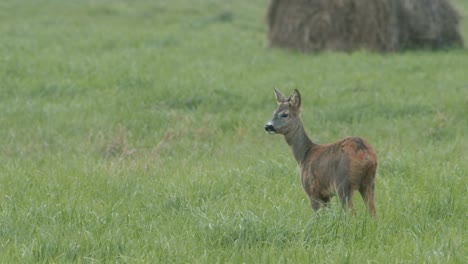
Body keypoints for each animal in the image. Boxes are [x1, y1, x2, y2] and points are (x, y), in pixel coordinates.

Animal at [266, 88, 378, 217]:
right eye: (274, 112)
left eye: (285, 114)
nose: (267, 126)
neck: (304, 155)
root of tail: (366, 154)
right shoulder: (326, 195)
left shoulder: (312, 190)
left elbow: (317, 216)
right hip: (369, 183)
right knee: (374, 212)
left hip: (343, 183)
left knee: (351, 213)